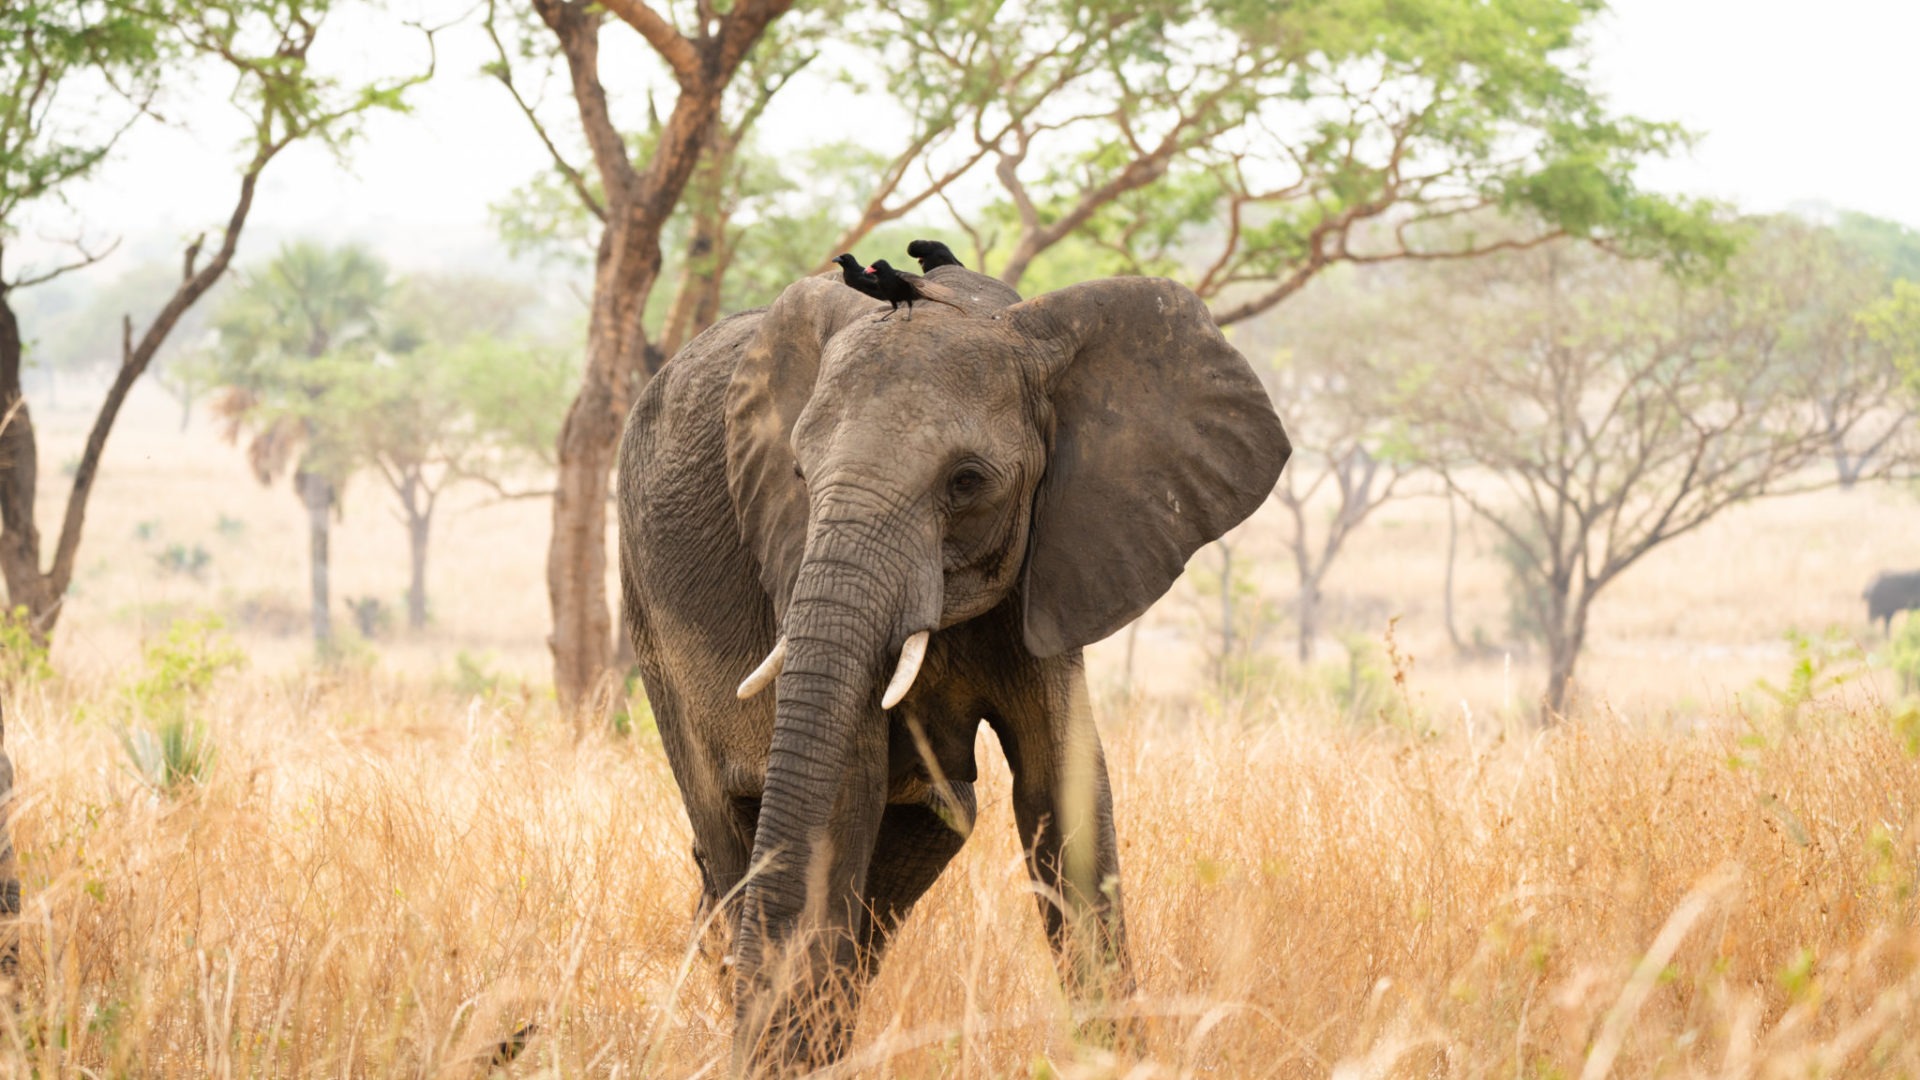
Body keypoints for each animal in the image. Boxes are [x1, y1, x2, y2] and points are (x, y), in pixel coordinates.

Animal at [616, 263, 1290, 1072]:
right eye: (799, 473)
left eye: (966, 481)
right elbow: (845, 790)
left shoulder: (1059, 549)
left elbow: (1063, 787)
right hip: (646, 609)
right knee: (726, 829)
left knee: (933, 822)